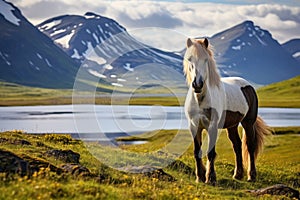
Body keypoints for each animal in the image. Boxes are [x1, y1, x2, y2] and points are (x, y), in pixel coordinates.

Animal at [183, 37, 272, 184]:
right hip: (232, 126)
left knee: (250, 146)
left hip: (248, 123)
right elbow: (197, 152)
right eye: (190, 59)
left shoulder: (212, 126)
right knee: (237, 145)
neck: (200, 99)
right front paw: (199, 177)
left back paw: (251, 176)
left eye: (206, 59)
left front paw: (211, 178)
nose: (197, 84)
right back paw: (238, 175)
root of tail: (248, 86)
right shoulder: (194, 126)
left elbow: (210, 152)